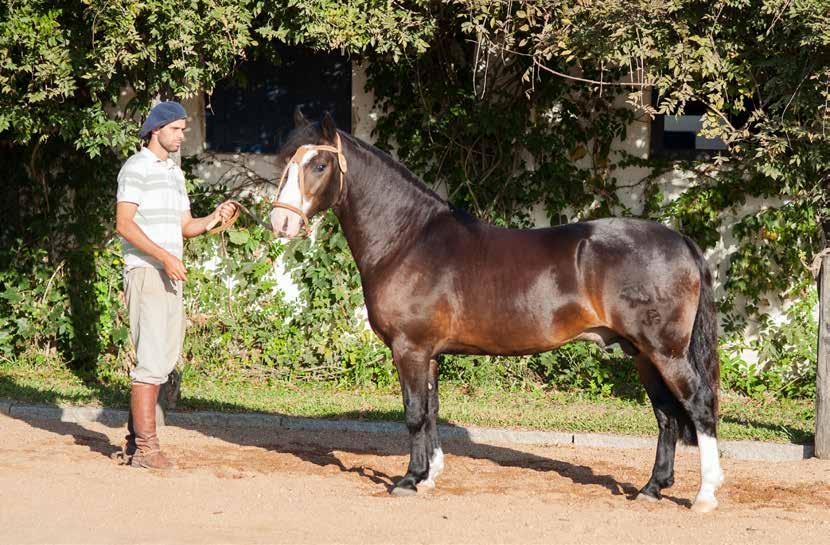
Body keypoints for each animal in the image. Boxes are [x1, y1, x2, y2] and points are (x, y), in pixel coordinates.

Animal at [270, 112, 724, 512]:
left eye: (320, 164)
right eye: (285, 162)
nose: (281, 223)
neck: (409, 240)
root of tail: (681, 240)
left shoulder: (409, 349)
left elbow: (414, 413)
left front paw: (408, 480)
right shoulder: (428, 354)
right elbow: (431, 412)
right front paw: (429, 476)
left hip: (665, 351)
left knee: (698, 404)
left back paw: (704, 496)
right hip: (642, 353)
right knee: (666, 415)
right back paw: (652, 488)